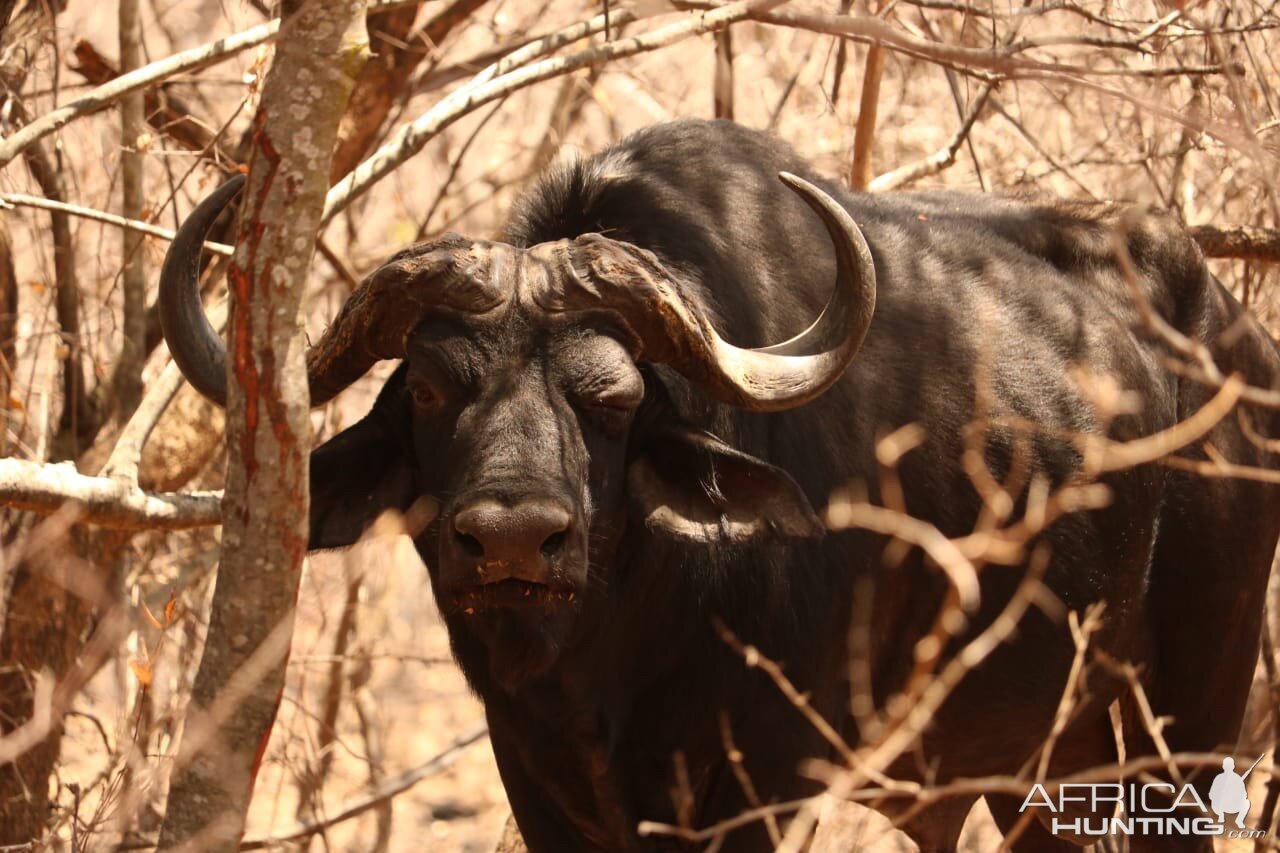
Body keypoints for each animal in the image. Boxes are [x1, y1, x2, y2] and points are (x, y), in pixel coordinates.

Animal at [157, 117, 1280, 845]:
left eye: (611, 397)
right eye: (430, 389)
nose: (514, 540)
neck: (610, 654)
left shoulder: (756, 790)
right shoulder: (538, 782)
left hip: (1191, 720)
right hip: (1038, 766)